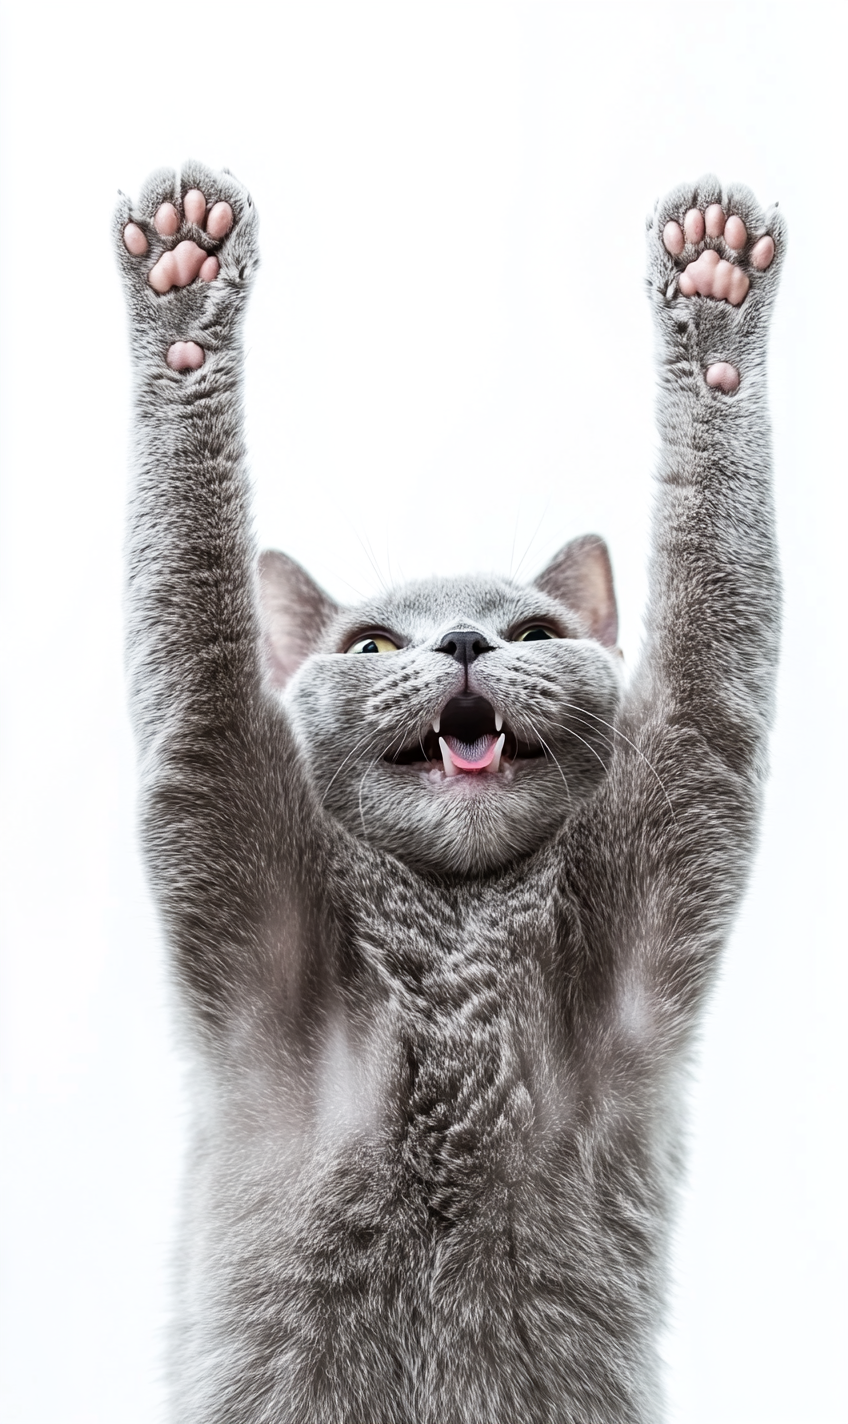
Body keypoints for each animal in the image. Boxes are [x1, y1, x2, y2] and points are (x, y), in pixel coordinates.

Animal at [115, 161, 785, 1418]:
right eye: (374, 645)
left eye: (534, 630)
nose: (468, 641)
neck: (455, 934)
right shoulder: (230, 844)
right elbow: (196, 646)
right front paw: (184, 293)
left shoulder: (669, 843)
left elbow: (714, 638)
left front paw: (714, 305)